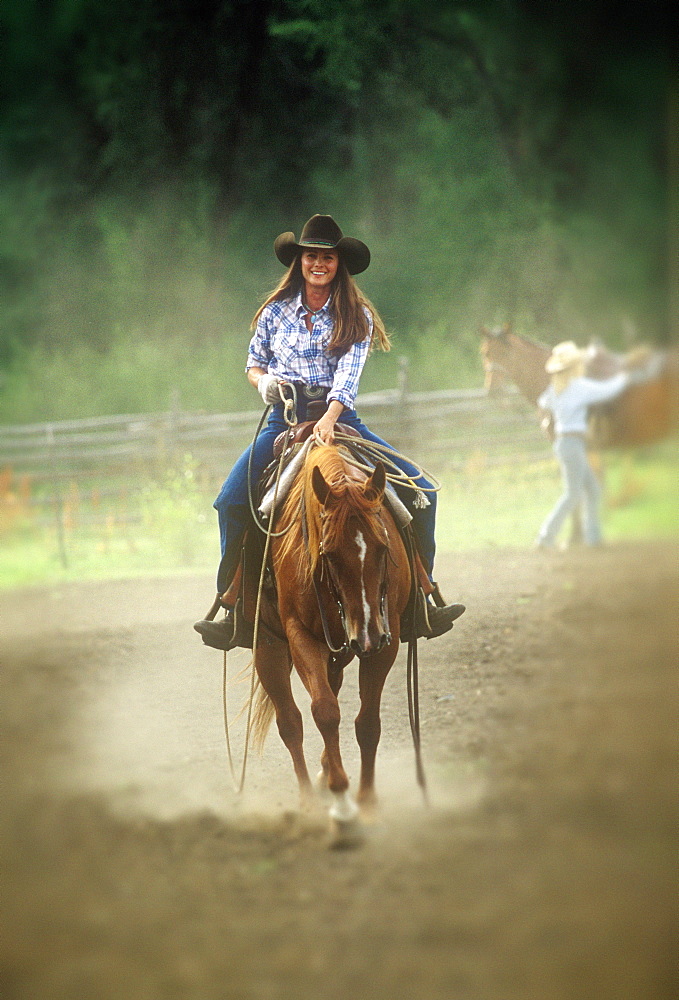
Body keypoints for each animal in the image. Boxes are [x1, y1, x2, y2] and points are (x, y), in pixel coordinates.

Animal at [250, 446, 410, 828]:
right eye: (330, 554)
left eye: (382, 547)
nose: (367, 635)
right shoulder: (301, 635)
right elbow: (324, 711)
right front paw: (341, 800)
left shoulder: (389, 638)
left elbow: (367, 722)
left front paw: (366, 800)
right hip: (269, 648)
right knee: (290, 722)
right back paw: (309, 800)